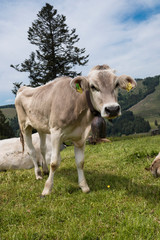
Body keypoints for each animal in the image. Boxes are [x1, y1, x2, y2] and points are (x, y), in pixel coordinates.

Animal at [15, 64, 136, 196]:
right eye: (93, 86)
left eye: (116, 84)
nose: (112, 109)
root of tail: (23, 88)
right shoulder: (56, 132)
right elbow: (54, 162)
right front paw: (47, 189)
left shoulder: (81, 136)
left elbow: (80, 162)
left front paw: (84, 186)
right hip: (25, 126)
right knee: (31, 151)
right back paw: (38, 174)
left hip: (41, 126)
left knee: (42, 148)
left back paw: (45, 170)